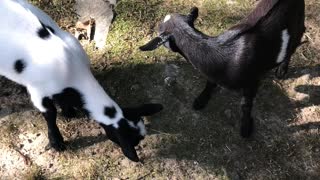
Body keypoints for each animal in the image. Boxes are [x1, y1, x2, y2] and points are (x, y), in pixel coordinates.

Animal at [0, 0, 161, 162]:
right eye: (132, 140)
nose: (136, 155)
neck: (71, 70)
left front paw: (68, 112)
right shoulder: (39, 92)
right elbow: (50, 115)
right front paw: (57, 142)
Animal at [140, 0, 304, 137]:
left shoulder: (252, 82)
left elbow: (246, 105)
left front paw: (245, 128)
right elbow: (210, 83)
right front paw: (201, 100)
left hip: (298, 24)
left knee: (295, 42)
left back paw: (282, 69)